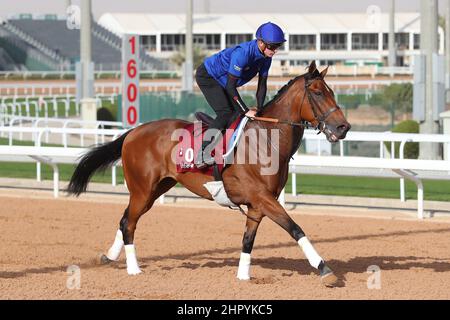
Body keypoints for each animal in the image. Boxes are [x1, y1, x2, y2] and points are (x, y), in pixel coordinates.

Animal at [67, 60, 350, 288]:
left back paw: (109, 256)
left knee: (125, 218)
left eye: (332, 92)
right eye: (317, 92)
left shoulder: (258, 204)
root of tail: (133, 132)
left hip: (155, 189)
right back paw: (134, 269)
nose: (343, 127)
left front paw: (243, 276)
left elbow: (248, 240)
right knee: (129, 223)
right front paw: (325, 269)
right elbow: (295, 228)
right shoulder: (263, 197)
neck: (267, 140)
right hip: (142, 189)